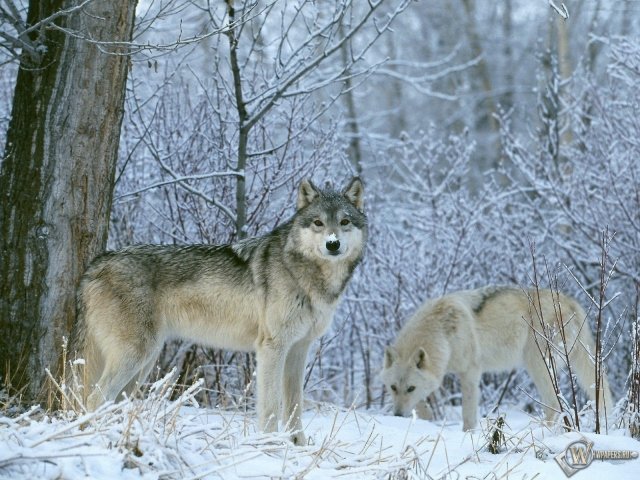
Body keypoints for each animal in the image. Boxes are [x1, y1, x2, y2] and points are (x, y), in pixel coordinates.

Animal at [68, 177, 367, 445]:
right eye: (318, 223)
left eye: (344, 222)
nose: (332, 244)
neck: (308, 276)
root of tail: (95, 265)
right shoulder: (272, 347)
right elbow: (271, 406)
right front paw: (269, 446)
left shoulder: (298, 350)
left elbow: (294, 407)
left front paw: (298, 446)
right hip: (136, 356)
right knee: (94, 397)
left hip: (143, 364)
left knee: (113, 402)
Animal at [381, 286, 613, 431]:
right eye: (393, 388)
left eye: (410, 388)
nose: (397, 415)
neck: (442, 332)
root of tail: (571, 302)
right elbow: (423, 403)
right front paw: (427, 418)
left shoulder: (470, 372)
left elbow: (468, 415)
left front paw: (467, 435)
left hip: (537, 364)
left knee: (553, 403)